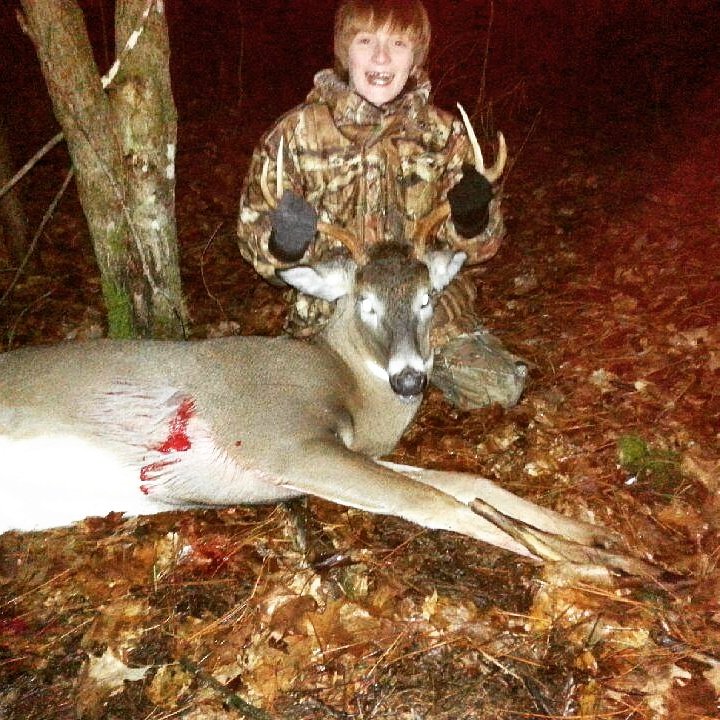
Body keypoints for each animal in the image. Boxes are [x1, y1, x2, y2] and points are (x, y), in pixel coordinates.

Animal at [0, 107, 652, 576]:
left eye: (426, 298)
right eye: (364, 302)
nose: (410, 377)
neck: (347, 388)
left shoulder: (348, 447)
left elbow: (471, 483)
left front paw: (606, 540)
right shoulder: (282, 441)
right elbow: (437, 503)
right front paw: (592, 568)